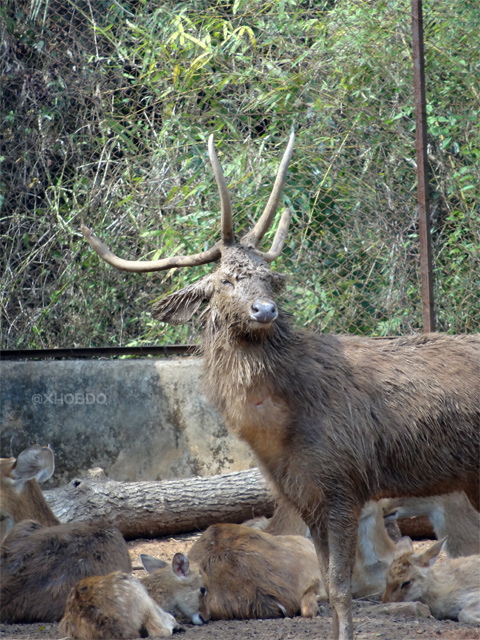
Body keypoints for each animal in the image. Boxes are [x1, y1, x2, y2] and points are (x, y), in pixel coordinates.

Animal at [80, 131, 478, 640]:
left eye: (270, 279)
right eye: (225, 280)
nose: (264, 310)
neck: (276, 430)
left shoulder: (343, 481)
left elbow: (340, 587)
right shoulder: (305, 496)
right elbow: (328, 583)